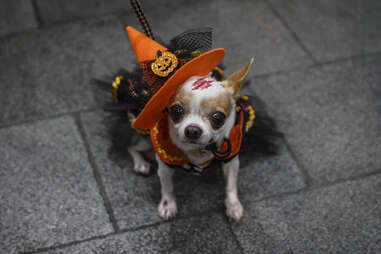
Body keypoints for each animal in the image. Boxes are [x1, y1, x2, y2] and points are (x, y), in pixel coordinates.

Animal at [126, 58, 254, 221]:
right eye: (176, 111)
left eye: (218, 118)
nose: (192, 130)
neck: (198, 150)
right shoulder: (165, 163)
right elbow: (167, 186)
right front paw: (168, 205)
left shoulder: (231, 159)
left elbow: (231, 184)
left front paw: (233, 205)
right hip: (146, 140)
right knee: (131, 146)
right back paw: (140, 163)